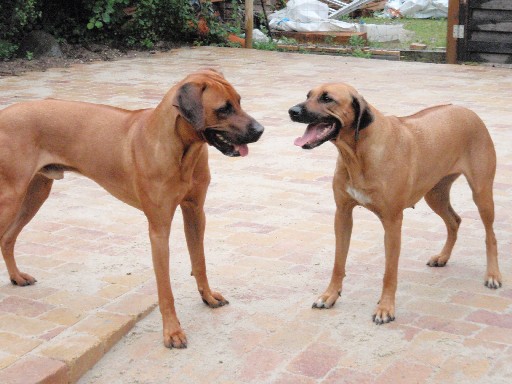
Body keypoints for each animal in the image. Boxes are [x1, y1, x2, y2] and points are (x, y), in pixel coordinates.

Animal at [0, 69, 264, 348]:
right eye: (223, 109)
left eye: (239, 101)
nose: (261, 130)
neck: (182, 149)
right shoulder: (159, 228)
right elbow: (165, 288)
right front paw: (172, 331)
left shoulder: (195, 212)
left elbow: (199, 261)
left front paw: (208, 296)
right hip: (11, 197)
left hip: (36, 193)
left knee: (7, 238)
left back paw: (17, 277)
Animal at [290, 83, 502, 324]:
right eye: (308, 95)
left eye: (327, 99)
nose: (292, 111)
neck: (357, 152)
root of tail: (468, 111)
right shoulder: (342, 214)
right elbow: (338, 262)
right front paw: (330, 295)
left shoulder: (392, 222)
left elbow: (389, 272)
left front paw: (385, 308)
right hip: (435, 194)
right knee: (454, 221)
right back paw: (443, 257)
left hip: (481, 193)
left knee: (490, 235)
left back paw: (493, 275)